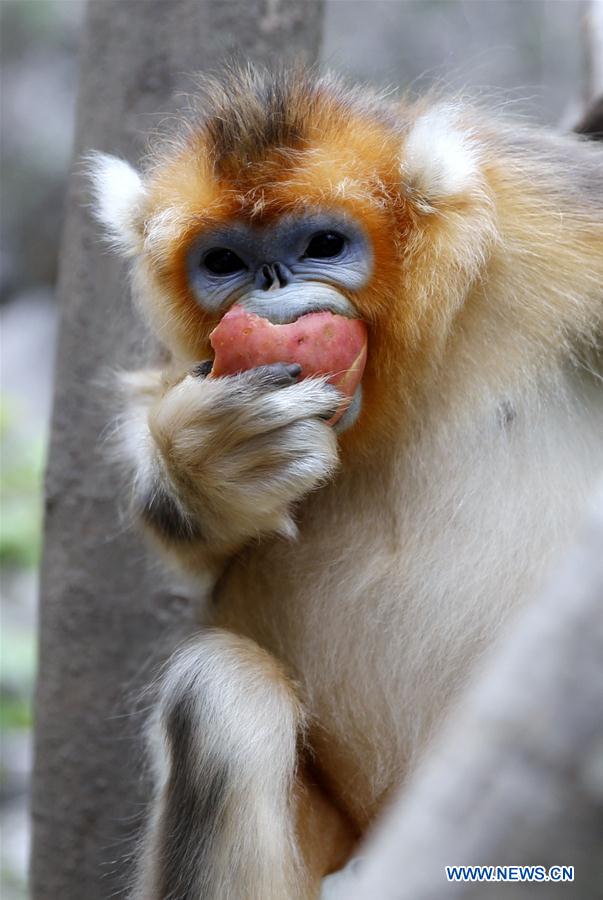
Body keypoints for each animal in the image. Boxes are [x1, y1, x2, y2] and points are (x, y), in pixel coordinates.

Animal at [89, 67, 603, 899]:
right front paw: (210, 463)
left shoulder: (550, 213)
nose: (270, 283)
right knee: (218, 702)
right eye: (225, 262)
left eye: (323, 245)